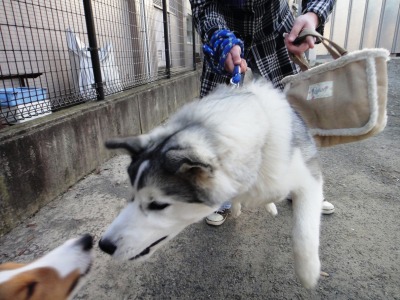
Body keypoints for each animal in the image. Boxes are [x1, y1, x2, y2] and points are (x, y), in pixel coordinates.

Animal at [98, 79, 324, 288]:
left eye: (158, 205)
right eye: (132, 197)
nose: (103, 245)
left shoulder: (309, 178)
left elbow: (303, 232)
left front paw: (308, 273)